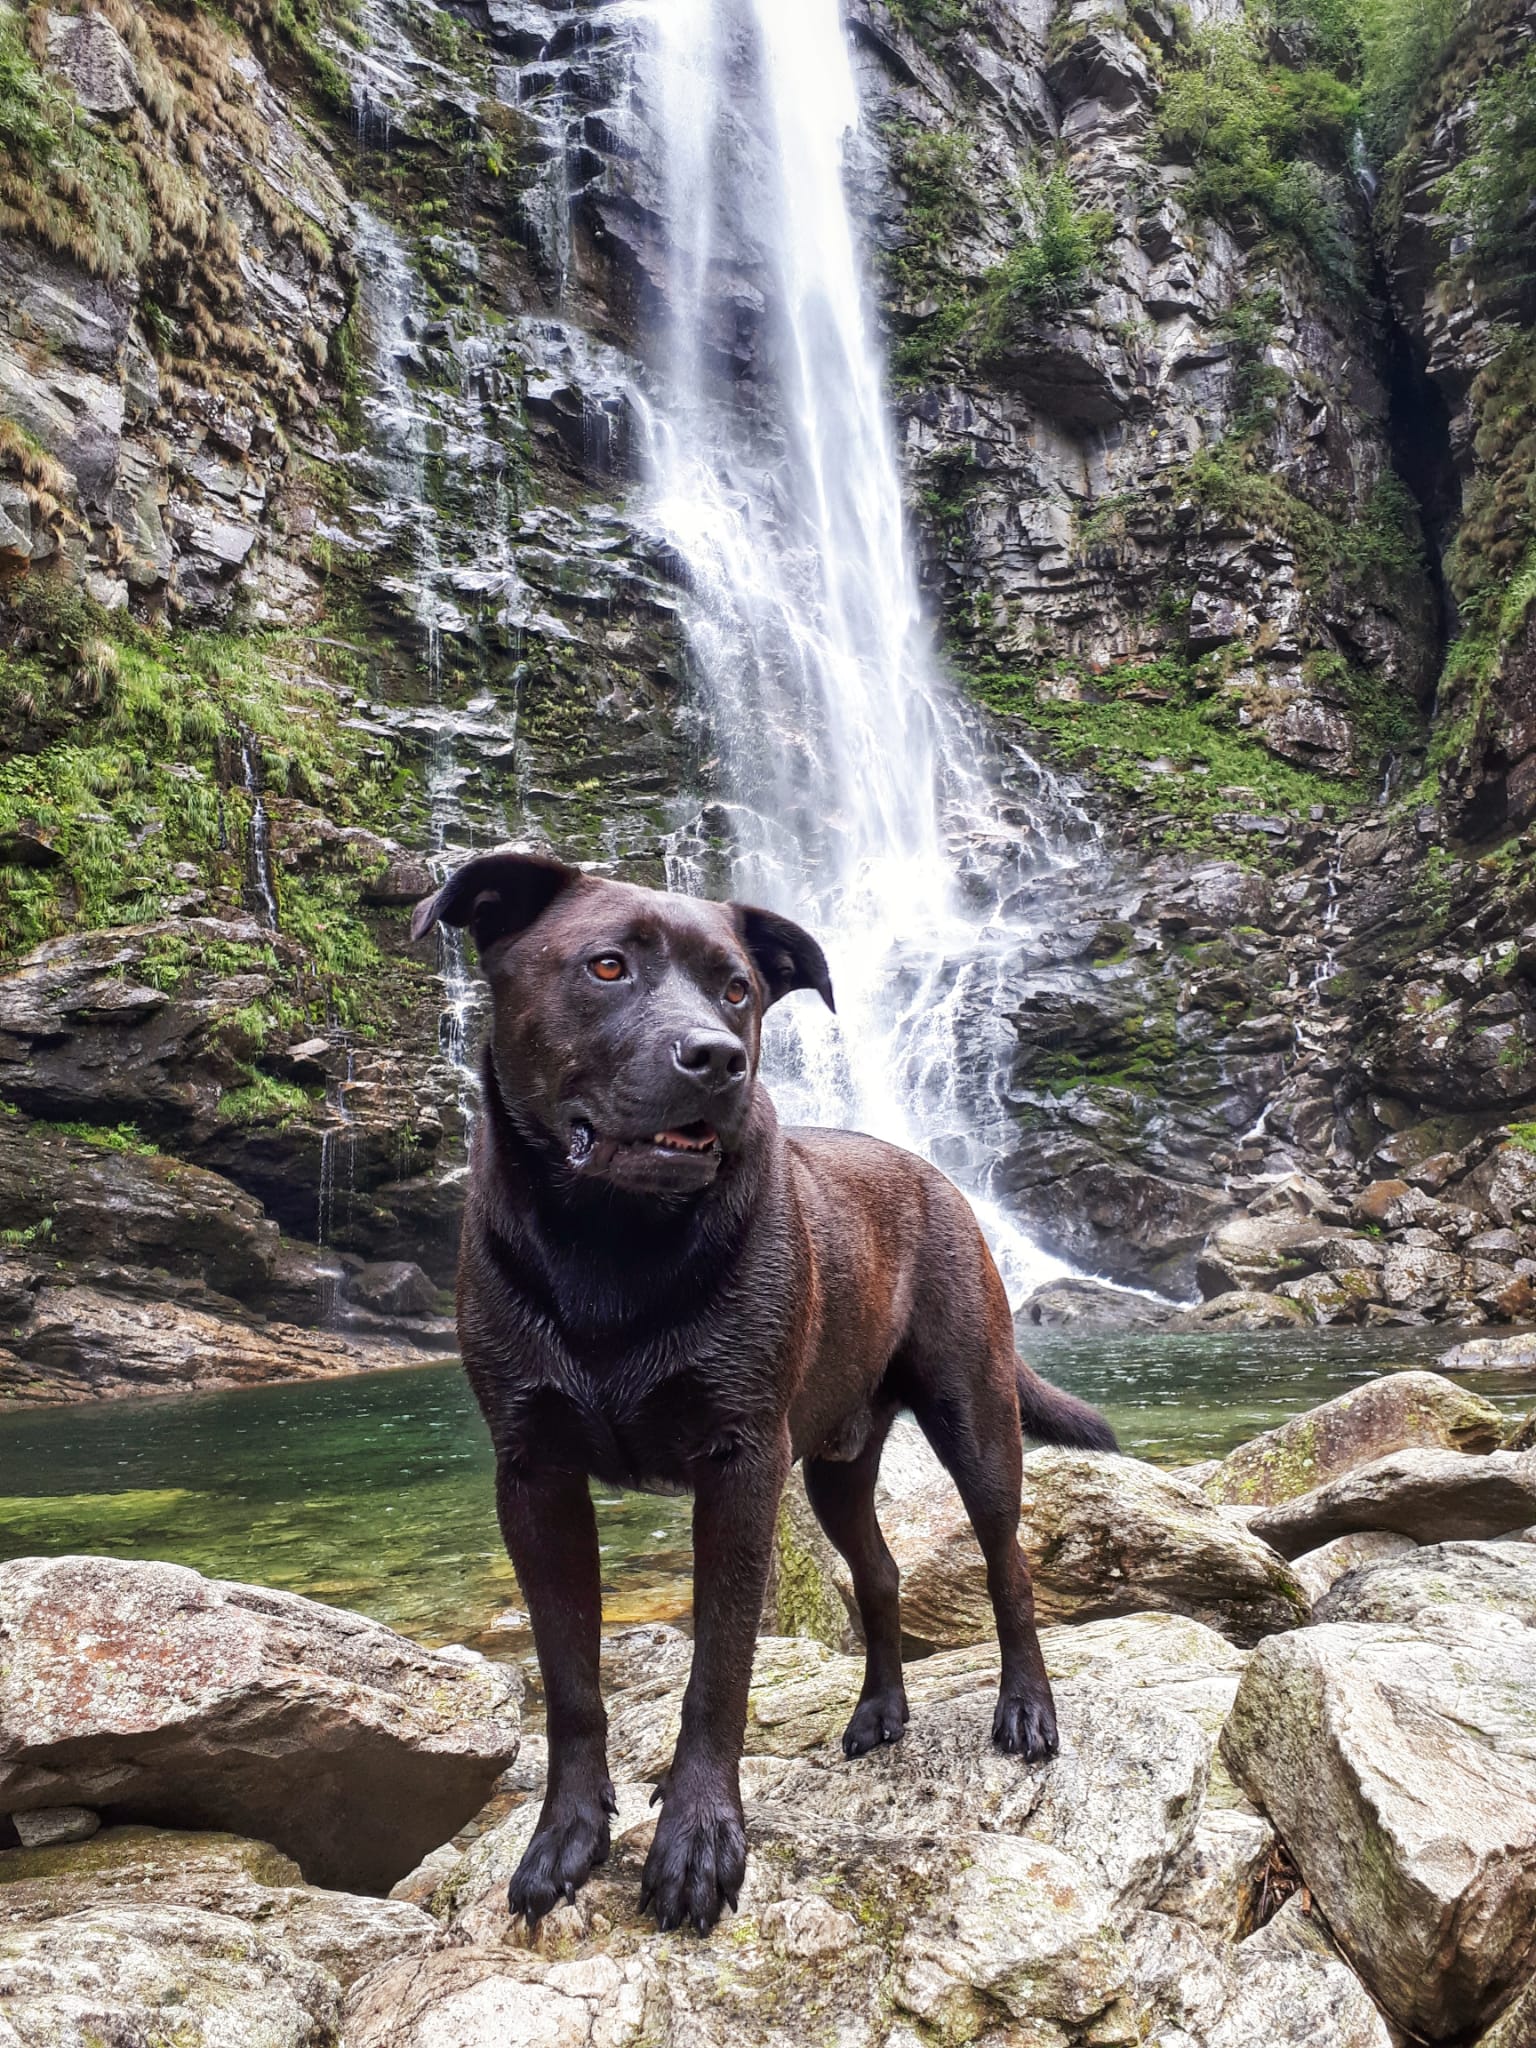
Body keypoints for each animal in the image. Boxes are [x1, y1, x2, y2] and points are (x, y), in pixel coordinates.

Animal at [411, 851, 1122, 1933]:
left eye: (738, 989)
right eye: (607, 964)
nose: (714, 1058)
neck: (610, 1247)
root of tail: (936, 1171)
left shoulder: (739, 1468)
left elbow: (718, 1670)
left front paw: (698, 1841)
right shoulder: (533, 1478)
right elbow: (570, 1679)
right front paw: (564, 1835)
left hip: (976, 1419)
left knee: (1009, 1567)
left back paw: (1026, 1708)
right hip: (832, 1469)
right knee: (881, 1573)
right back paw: (880, 1710)